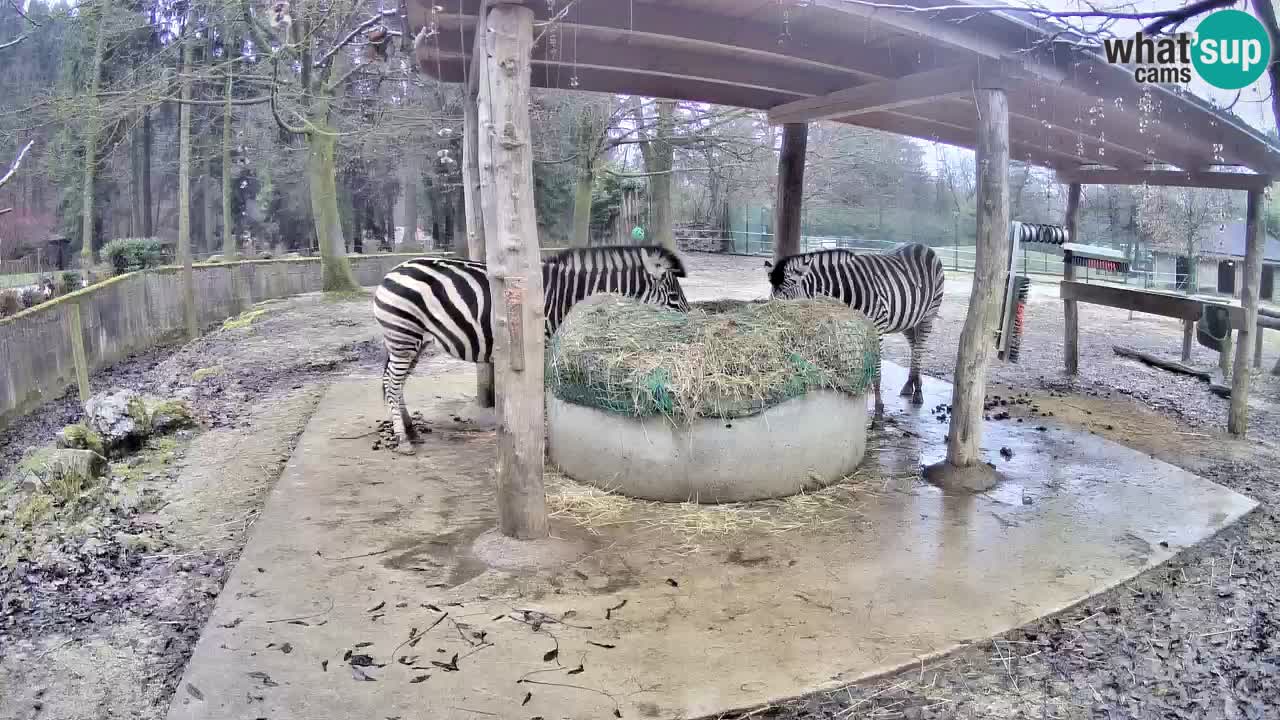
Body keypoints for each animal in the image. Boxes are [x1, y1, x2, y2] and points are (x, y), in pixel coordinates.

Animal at [371, 243, 691, 450]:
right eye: (675, 297)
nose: (689, 323)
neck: (570, 296)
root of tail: (392, 271)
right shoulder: (545, 345)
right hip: (404, 335)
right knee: (392, 383)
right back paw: (403, 440)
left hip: (413, 340)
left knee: (392, 382)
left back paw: (410, 430)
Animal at [762, 240, 947, 420]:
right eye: (771, 297)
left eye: (786, 294)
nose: (773, 321)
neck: (846, 289)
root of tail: (922, 245)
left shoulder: (878, 325)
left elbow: (876, 368)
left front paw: (878, 406)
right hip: (908, 319)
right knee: (915, 347)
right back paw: (911, 384)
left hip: (929, 313)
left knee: (920, 348)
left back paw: (918, 393)